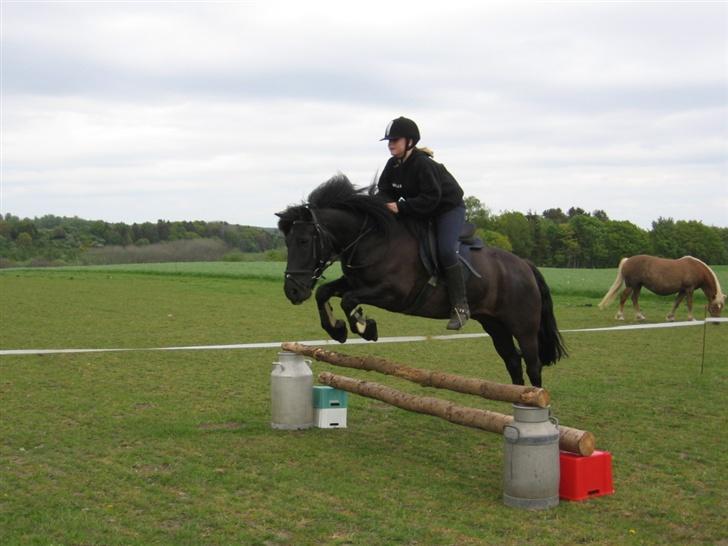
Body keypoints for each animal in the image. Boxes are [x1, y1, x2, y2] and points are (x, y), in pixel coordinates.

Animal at [276, 175, 564, 386]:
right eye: (287, 242)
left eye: (304, 241)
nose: (292, 290)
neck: (372, 238)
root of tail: (525, 266)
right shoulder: (356, 282)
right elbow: (324, 292)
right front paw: (338, 329)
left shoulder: (392, 294)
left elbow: (348, 300)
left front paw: (365, 327)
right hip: (494, 324)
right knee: (513, 361)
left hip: (523, 326)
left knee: (533, 365)